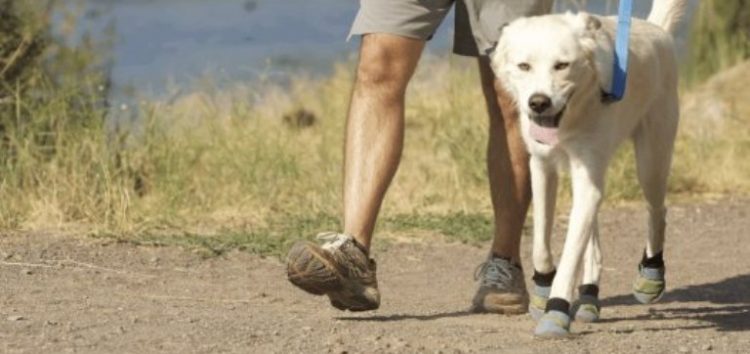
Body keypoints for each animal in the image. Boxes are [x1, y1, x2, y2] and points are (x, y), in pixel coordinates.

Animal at [490, 0, 692, 338]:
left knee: (657, 210)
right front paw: (542, 292)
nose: (538, 103)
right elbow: (541, 243)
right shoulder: (542, 168)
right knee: (594, 241)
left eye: (562, 65)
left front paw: (556, 311)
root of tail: (656, 29)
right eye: (524, 66)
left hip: (651, 161)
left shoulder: (588, 178)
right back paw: (588, 298)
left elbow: (571, 252)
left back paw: (650, 275)